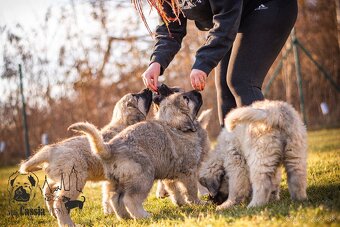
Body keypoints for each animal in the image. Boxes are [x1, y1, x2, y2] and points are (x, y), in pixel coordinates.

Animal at [18, 88, 151, 227]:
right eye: (136, 95)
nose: (148, 89)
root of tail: (51, 150)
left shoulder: (110, 180)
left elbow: (108, 196)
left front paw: (110, 212)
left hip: (62, 177)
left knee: (47, 188)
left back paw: (52, 212)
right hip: (74, 180)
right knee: (59, 202)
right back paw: (67, 223)